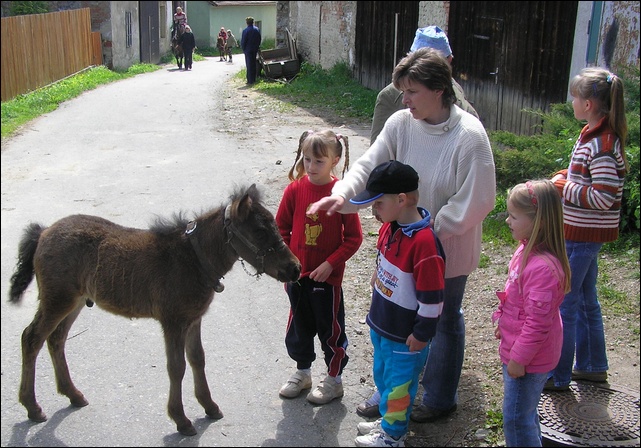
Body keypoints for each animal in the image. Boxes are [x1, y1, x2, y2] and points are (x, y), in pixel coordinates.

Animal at [7, 184, 302, 436]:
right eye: (260, 231)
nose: (295, 268)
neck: (193, 258)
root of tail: (44, 232)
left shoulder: (194, 319)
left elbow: (197, 358)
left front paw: (209, 406)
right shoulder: (173, 321)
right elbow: (176, 366)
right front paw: (181, 419)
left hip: (75, 301)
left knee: (56, 339)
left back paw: (73, 394)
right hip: (57, 300)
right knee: (31, 338)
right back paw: (32, 407)